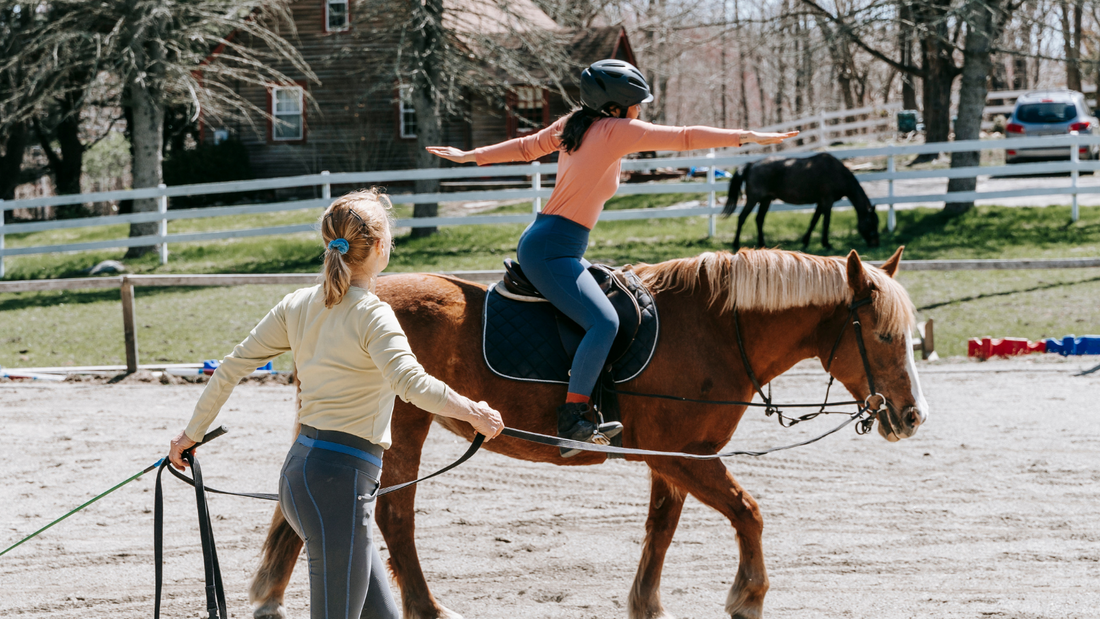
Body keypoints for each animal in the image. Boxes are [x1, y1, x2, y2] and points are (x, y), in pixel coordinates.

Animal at [249, 247, 928, 619]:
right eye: (883, 335)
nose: (912, 415)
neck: (710, 329)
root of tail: (336, 301)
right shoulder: (686, 456)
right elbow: (749, 512)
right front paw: (749, 596)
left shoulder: (670, 460)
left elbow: (661, 530)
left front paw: (646, 603)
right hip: (402, 425)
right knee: (393, 517)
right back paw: (425, 606)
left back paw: (272, 596)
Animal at [721, 153, 884, 250]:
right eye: (871, 223)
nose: (876, 244)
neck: (837, 172)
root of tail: (752, 164)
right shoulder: (827, 201)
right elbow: (826, 222)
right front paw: (827, 244)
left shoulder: (820, 202)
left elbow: (814, 221)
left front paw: (805, 241)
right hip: (753, 199)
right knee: (742, 218)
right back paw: (736, 244)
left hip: (766, 200)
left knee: (759, 219)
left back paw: (763, 244)